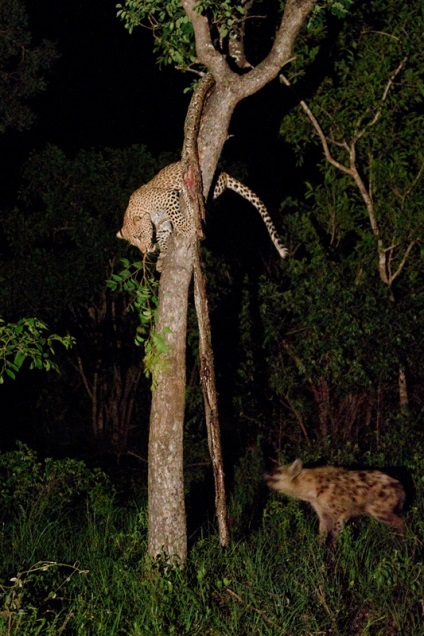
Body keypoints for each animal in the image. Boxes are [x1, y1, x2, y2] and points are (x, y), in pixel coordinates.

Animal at [116, 164, 288, 264]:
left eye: (139, 236)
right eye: (134, 243)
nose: (144, 251)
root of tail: (223, 172)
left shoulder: (168, 197)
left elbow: (175, 216)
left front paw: (185, 228)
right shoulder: (161, 222)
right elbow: (161, 235)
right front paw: (163, 255)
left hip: (212, 185)